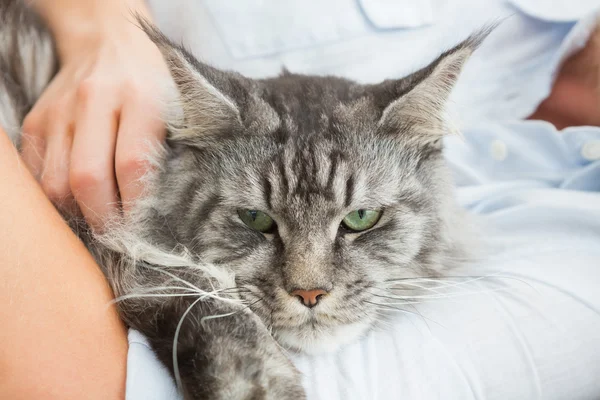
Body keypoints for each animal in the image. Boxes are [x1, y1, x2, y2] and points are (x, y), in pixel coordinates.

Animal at [0, 1, 486, 398]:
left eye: (362, 217)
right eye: (255, 219)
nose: (309, 294)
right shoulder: (119, 244)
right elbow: (210, 303)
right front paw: (258, 387)